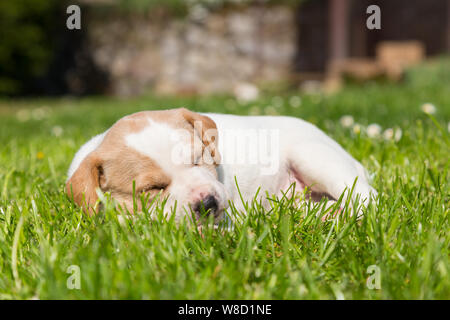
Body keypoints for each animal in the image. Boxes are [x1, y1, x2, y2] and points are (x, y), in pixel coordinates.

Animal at [67, 107, 376, 222]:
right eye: (152, 188)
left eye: (198, 159)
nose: (208, 204)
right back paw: (328, 215)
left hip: (315, 156)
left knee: (367, 196)